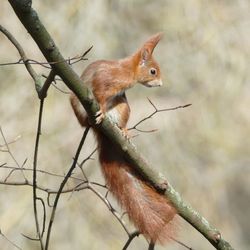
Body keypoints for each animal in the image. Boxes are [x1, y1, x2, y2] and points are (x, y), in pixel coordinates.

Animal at [69, 32, 177, 244]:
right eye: (153, 71)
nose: (161, 84)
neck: (128, 72)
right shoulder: (104, 80)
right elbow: (100, 93)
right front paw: (101, 110)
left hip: (122, 105)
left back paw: (124, 130)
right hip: (77, 102)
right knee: (85, 120)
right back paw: (92, 119)